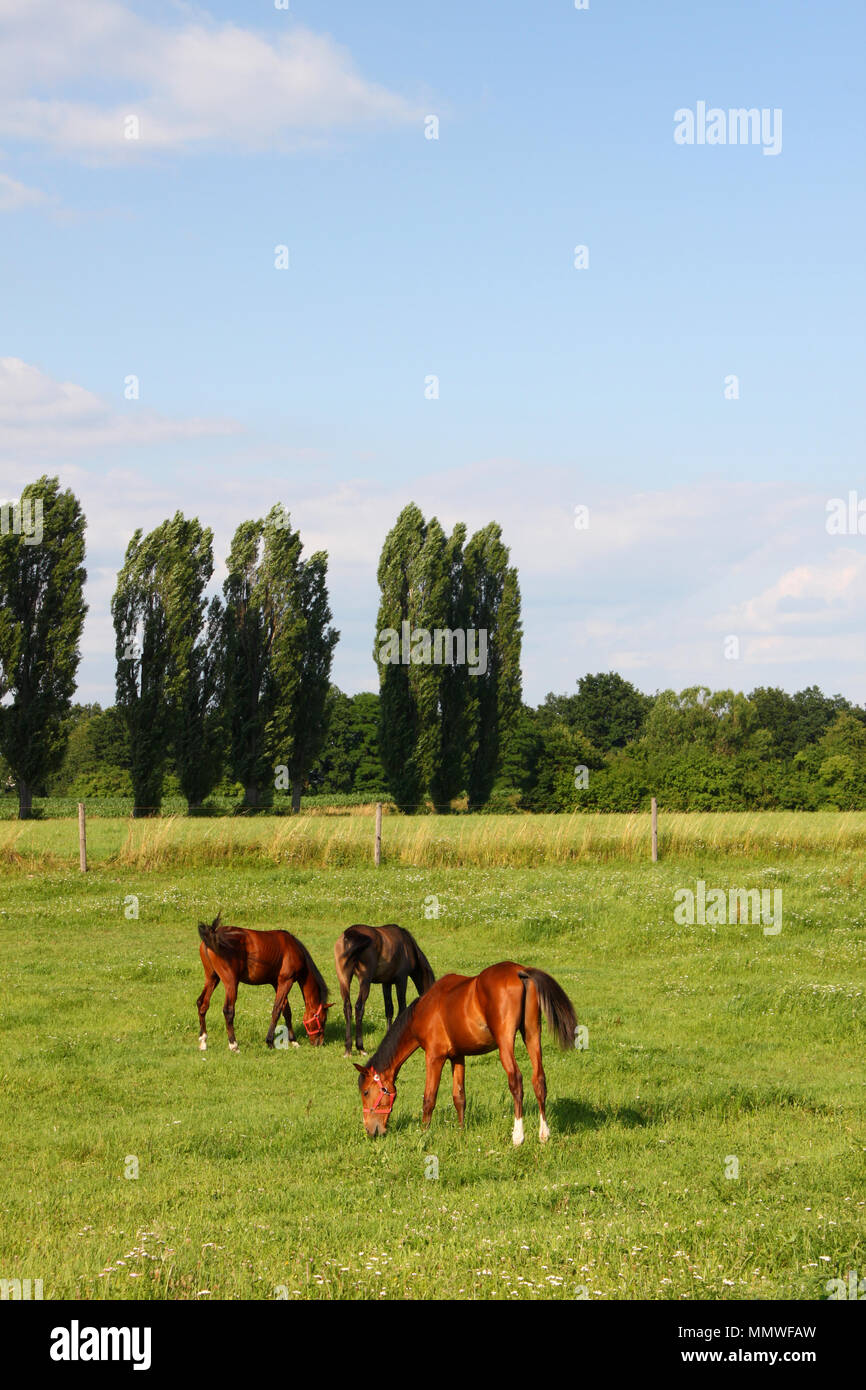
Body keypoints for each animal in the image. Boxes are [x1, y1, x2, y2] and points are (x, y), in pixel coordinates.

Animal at [197, 911, 335, 1050]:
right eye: (323, 1020)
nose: (319, 1043)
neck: (294, 949)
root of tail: (213, 933)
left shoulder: (277, 983)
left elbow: (287, 1011)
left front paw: (293, 1040)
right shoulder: (286, 981)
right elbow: (276, 1010)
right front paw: (270, 1041)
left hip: (212, 978)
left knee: (202, 1004)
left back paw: (203, 1041)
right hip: (231, 983)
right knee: (228, 1011)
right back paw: (234, 1045)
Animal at [335, 928, 436, 1056]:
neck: (408, 945)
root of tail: (350, 933)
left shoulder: (386, 983)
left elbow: (389, 1010)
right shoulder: (401, 979)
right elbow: (401, 1008)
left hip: (343, 979)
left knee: (347, 1007)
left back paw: (348, 1049)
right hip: (365, 980)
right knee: (359, 1007)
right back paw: (361, 1047)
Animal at [355, 961, 578, 1145]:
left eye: (365, 1092)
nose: (370, 1130)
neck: (422, 1010)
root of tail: (520, 971)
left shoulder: (434, 1056)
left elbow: (429, 1098)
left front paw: (423, 1133)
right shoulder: (458, 1056)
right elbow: (459, 1097)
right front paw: (461, 1131)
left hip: (506, 1041)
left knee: (516, 1080)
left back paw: (518, 1136)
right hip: (531, 1034)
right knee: (539, 1079)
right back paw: (544, 1134)